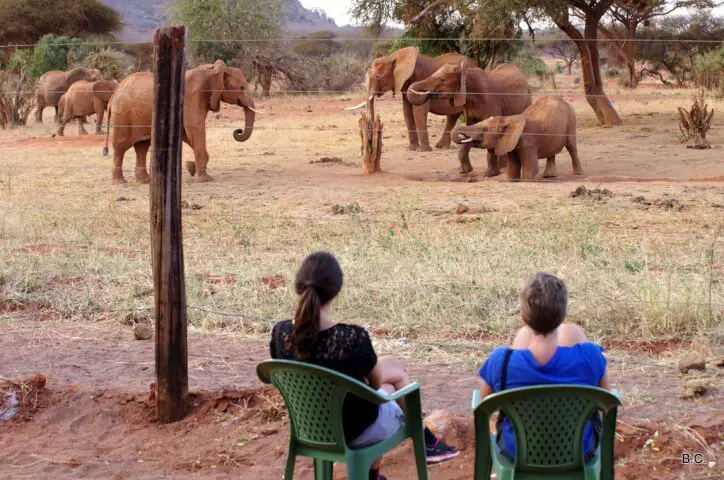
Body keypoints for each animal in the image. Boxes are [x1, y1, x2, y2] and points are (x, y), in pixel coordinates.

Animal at [103, 59, 258, 186]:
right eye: (242, 88)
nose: (238, 131)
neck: (212, 69)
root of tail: (114, 93)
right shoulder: (192, 97)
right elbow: (195, 131)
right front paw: (205, 179)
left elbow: (188, 135)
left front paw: (191, 167)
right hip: (123, 115)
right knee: (120, 146)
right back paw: (120, 182)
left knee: (142, 146)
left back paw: (145, 181)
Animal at [346, 46, 476, 152]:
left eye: (378, 77)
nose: (380, 145)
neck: (393, 56)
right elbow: (407, 111)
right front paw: (412, 149)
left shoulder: (420, 77)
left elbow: (418, 110)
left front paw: (423, 150)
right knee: (452, 116)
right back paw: (442, 146)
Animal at [452, 95, 584, 180]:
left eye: (484, 129)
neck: (508, 119)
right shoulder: (510, 142)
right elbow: (513, 165)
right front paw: (512, 179)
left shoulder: (528, 143)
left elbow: (531, 166)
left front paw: (527, 180)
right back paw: (549, 176)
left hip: (571, 120)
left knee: (571, 147)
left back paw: (578, 173)